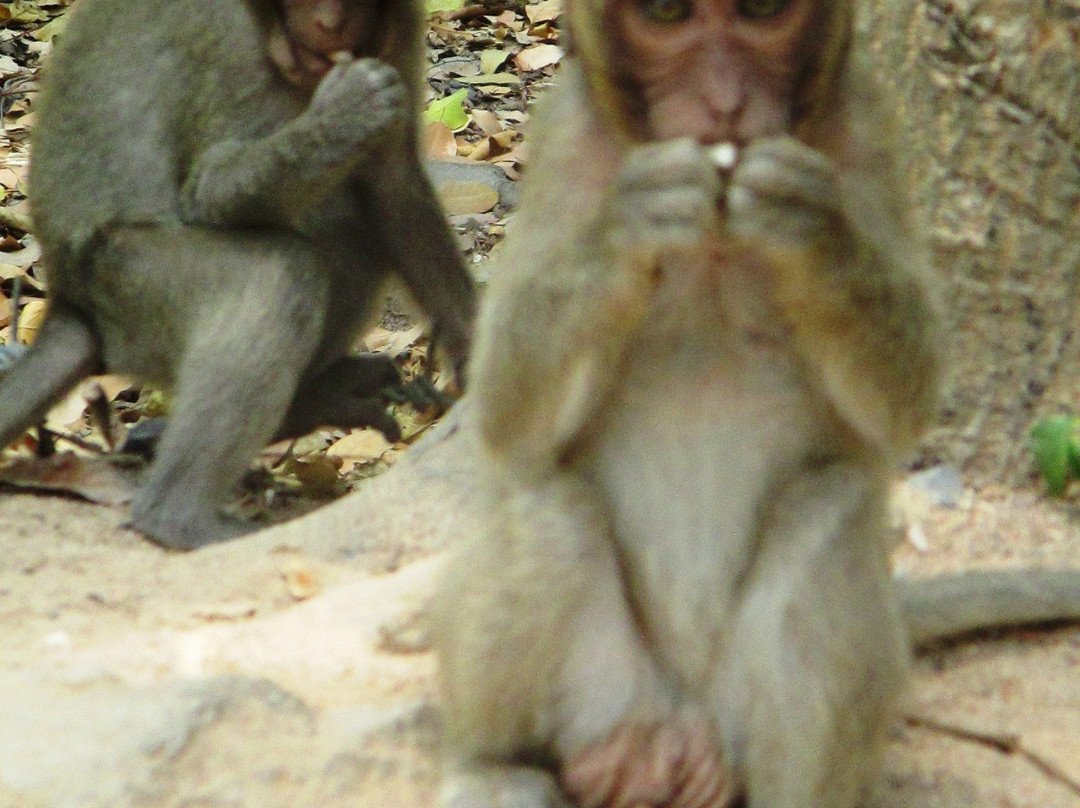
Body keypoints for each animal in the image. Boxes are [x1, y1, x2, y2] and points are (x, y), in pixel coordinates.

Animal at [1, 0, 476, 550]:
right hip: (129, 287)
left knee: (352, 234)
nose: (330, 23)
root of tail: (71, 300)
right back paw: (177, 516)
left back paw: (309, 404)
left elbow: (394, 184)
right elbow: (209, 188)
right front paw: (345, 116)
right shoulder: (229, 42)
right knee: (279, 272)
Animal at [429, 0, 944, 806]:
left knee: (827, 510)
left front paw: (813, 227)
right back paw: (493, 765)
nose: (723, 103)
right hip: (607, 694)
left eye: (761, 13)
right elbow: (507, 412)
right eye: (668, 14)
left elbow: (904, 401)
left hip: (734, 716)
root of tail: (676, 720)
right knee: (544, 499)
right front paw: (627, 225)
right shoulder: (566, 138)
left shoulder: (867, 121)